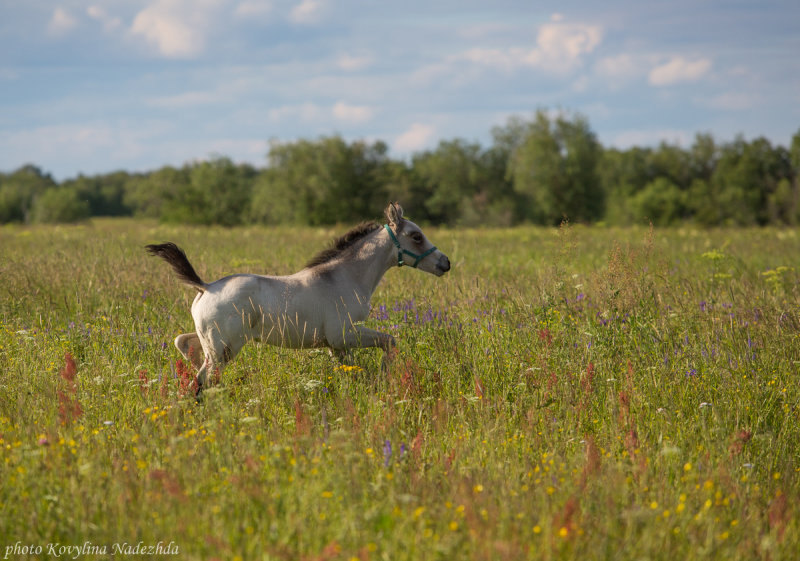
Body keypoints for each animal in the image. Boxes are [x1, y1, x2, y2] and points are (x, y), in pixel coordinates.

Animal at [147, 203, 450, 392]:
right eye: (416, 236)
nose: (445, 263)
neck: (343, 277)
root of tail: (206, 287)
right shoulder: (345, 335)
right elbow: (390, 341)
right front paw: (387, 375)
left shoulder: (336, 345)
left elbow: (351, 369)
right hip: (225, 349)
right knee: (202, 381)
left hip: (212, 342)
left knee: (184, 344)